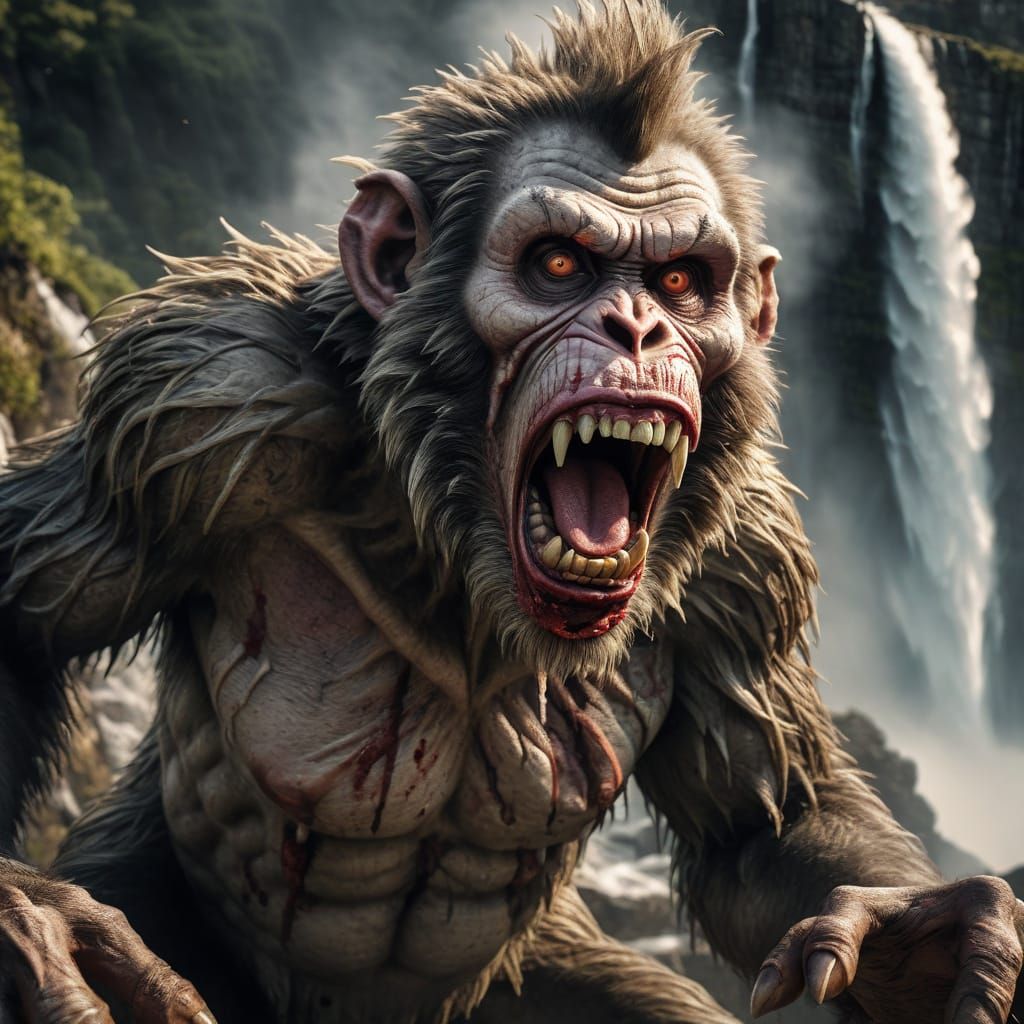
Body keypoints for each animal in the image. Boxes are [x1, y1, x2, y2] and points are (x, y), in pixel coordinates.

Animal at [0, 2, 1021, 1023]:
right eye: (558, 264)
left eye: (681, 281)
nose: (637, 328)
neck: (451, 536)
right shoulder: (198, 396)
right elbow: (29, 617)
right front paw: (38, 922)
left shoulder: (748, 566)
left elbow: (761, 818)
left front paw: (909, 944)